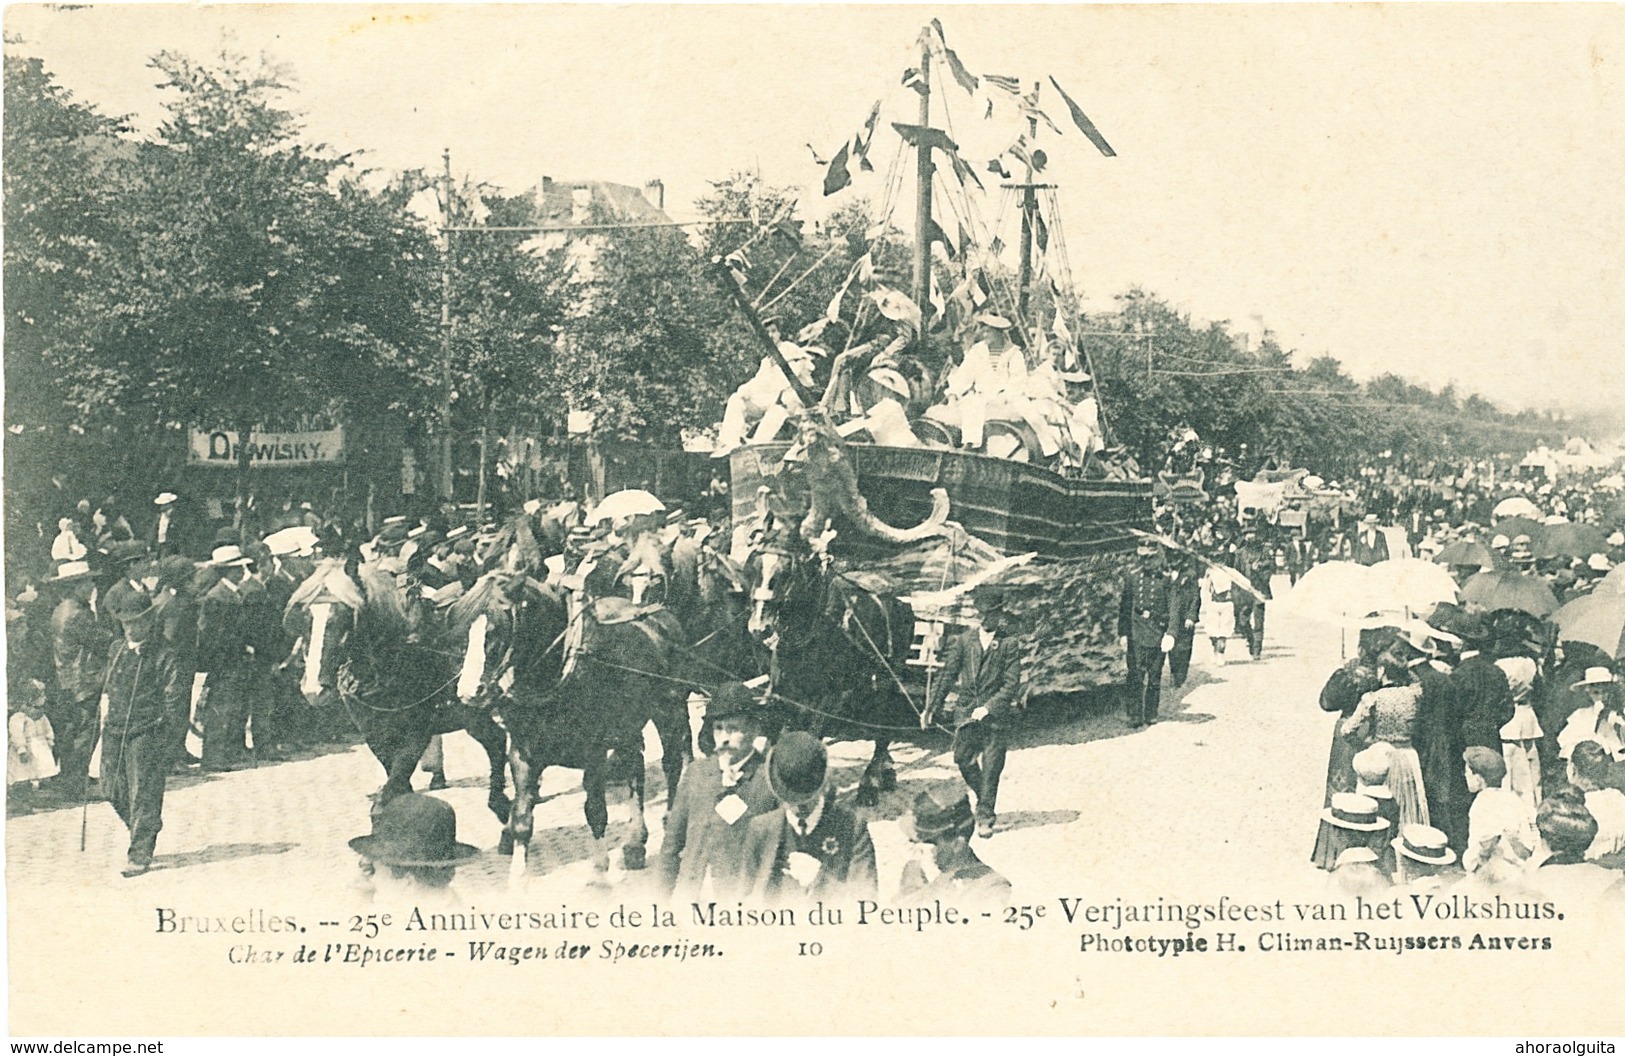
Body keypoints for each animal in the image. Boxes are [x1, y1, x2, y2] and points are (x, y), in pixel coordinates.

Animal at [741, 516, 929, 799]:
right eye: (753, 565)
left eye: (787, 572)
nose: (759, 627)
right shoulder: (781, 692)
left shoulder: (828, 697)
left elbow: (810, 740)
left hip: (890, 670)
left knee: (883, 717)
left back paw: (873, 778)